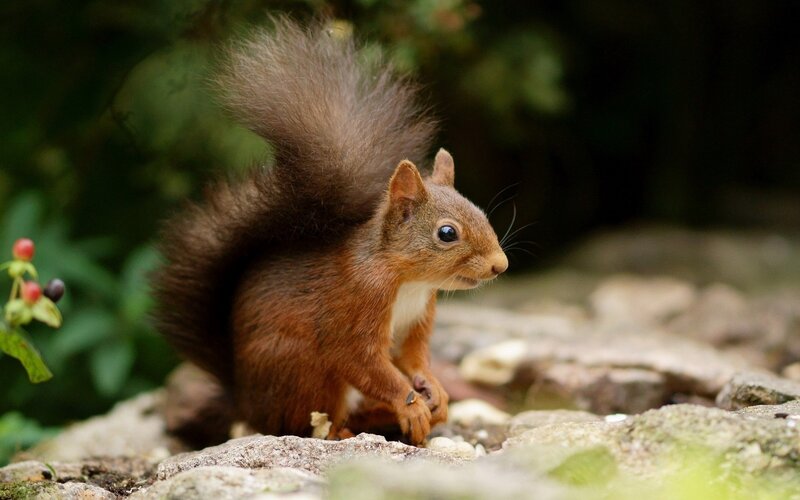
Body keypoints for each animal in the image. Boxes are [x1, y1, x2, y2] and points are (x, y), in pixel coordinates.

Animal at [152, 17, 508, 446]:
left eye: (481, 212)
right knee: (305, 423)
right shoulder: (355, 308)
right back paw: (343, 429)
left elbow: (412, 358)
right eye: (447, 233)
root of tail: (247, 403)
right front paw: (409, 404)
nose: (500, 265)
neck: (407, 279)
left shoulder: (418, 318)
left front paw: (433, 388)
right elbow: (363, 362)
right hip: (305, 372)